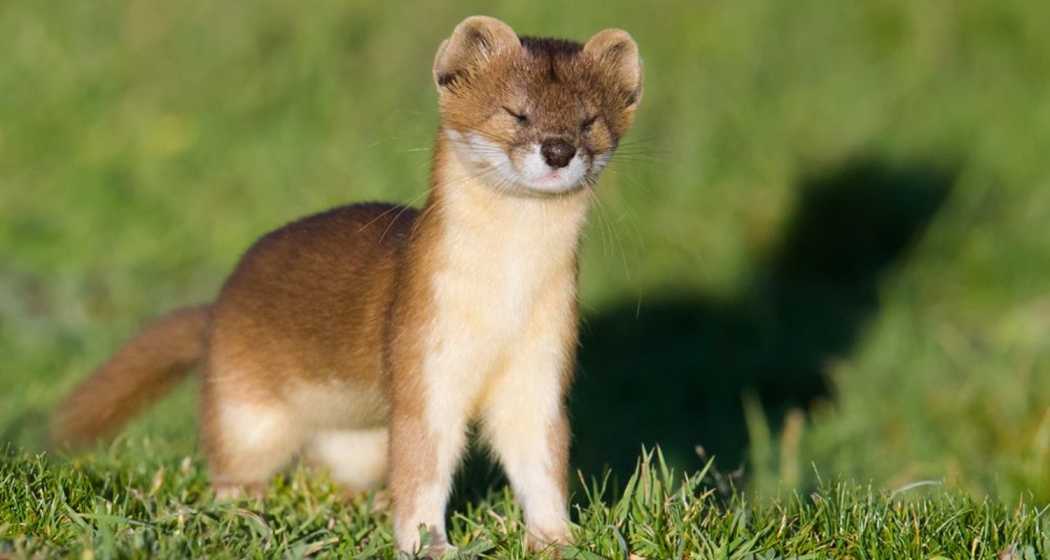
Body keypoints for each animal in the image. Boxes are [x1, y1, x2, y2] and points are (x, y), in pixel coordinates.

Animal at [55, 15, 638, 550]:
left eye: (590, 120)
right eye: (515, 112)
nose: (558, 150)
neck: (505, 297)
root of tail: (217, 308)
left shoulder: (542, 359)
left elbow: (539, 458)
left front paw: (556, 538)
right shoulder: (423, 350)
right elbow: (422, 464)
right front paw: (430, 543)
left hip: (355, 441)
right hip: (245, 405)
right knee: (235, 456)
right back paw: (246, 504)